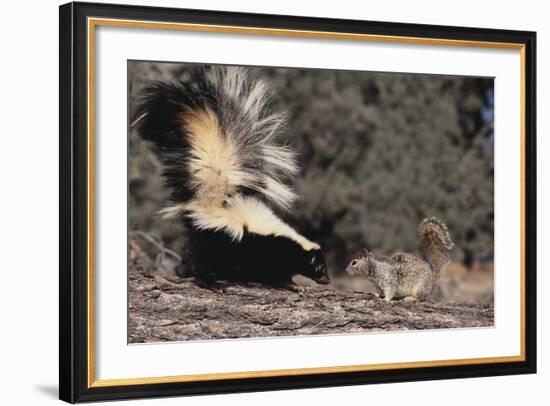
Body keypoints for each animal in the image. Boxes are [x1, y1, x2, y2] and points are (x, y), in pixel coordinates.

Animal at [134, 66, 330, 288]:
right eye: (319, 267)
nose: (327, 280)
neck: (288, 242)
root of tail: (209, 200)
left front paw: (289, 282)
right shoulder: (259, 247)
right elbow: (267, 271)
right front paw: (285, 284)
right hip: (215, 239)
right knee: (201, 259)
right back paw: (209, 281)